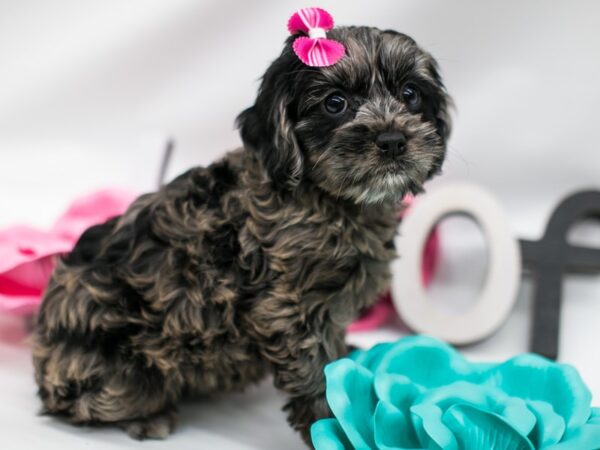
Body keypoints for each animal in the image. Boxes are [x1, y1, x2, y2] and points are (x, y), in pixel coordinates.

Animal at [30, 26, 448, 444]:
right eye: (335, 103)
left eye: (410, 93)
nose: (392, 140)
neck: (333, 200)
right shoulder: (287, 304)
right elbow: (314, 366)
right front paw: (331, 423)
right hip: (119, 370)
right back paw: (149, 417)